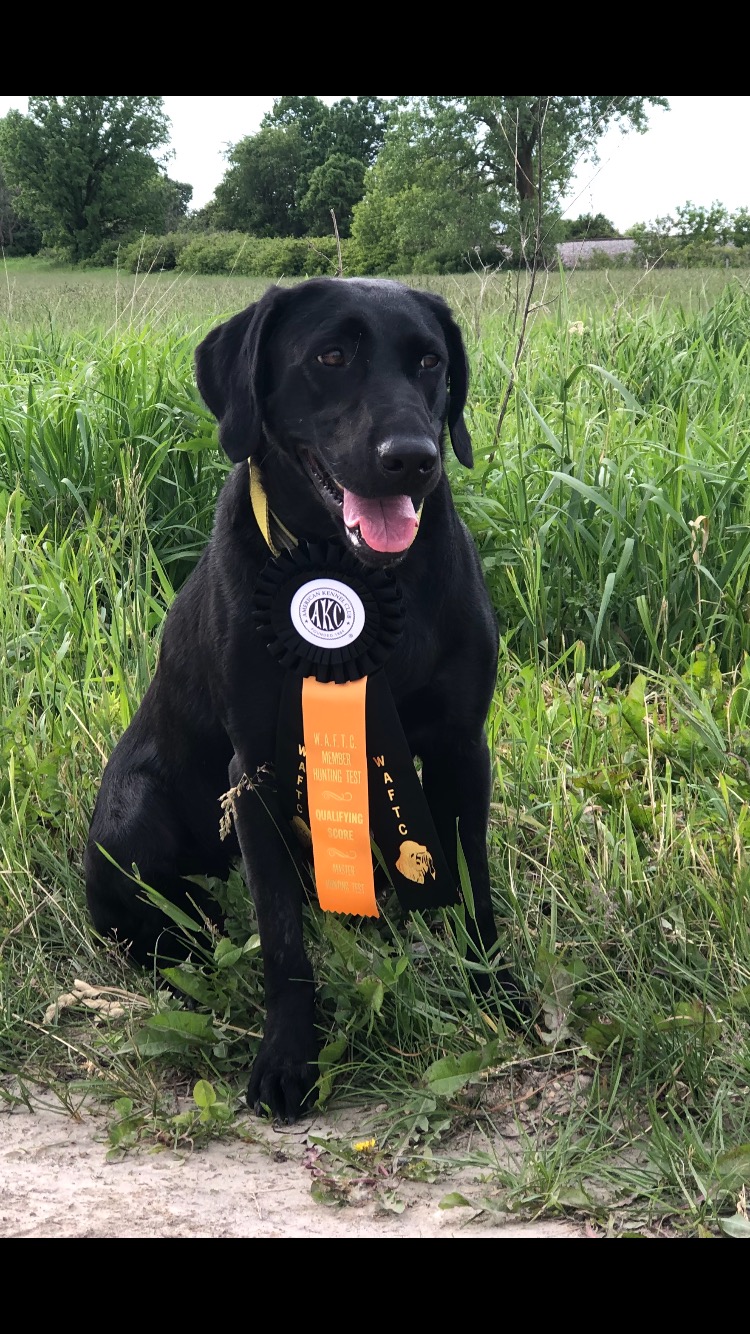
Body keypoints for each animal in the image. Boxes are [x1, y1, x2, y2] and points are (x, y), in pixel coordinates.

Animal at [86, 281, 520, 1125]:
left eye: (431, 362)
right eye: (331, 356)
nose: (412, 459)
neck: (359, 573)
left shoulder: (461, 748)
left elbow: (474, 882)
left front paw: (495, 989)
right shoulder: (253, 769)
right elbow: (283, 938)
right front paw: (288, 1056)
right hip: (133, 815)